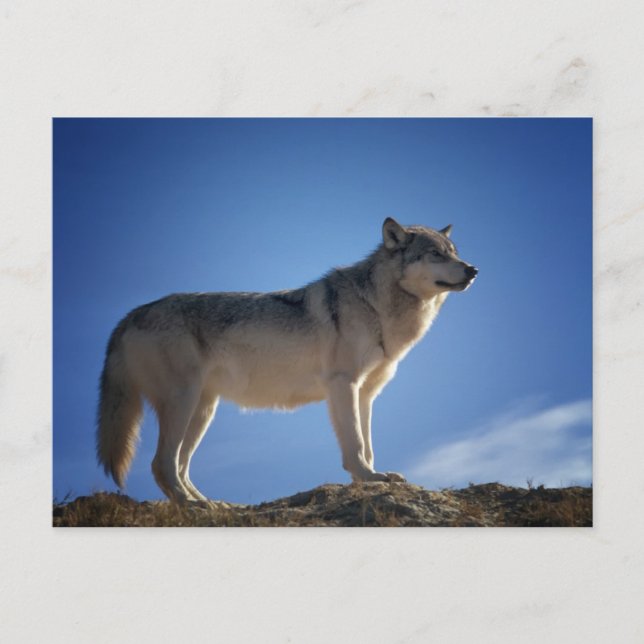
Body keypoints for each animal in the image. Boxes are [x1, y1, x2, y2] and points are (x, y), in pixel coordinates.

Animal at [96, 218, 477, 503]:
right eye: (435, 254)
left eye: (454, 253)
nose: (473, 270)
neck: (375, 306)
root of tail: (129, 316)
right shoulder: (343, 385)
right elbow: (355, 444)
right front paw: (368, 479)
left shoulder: (366, 394)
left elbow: (367, 445)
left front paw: (370, 478)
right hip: (184, 403)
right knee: (161, 464)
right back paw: (193, 507)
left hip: (203, 411)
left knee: (179, 466)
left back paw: (211, 505)